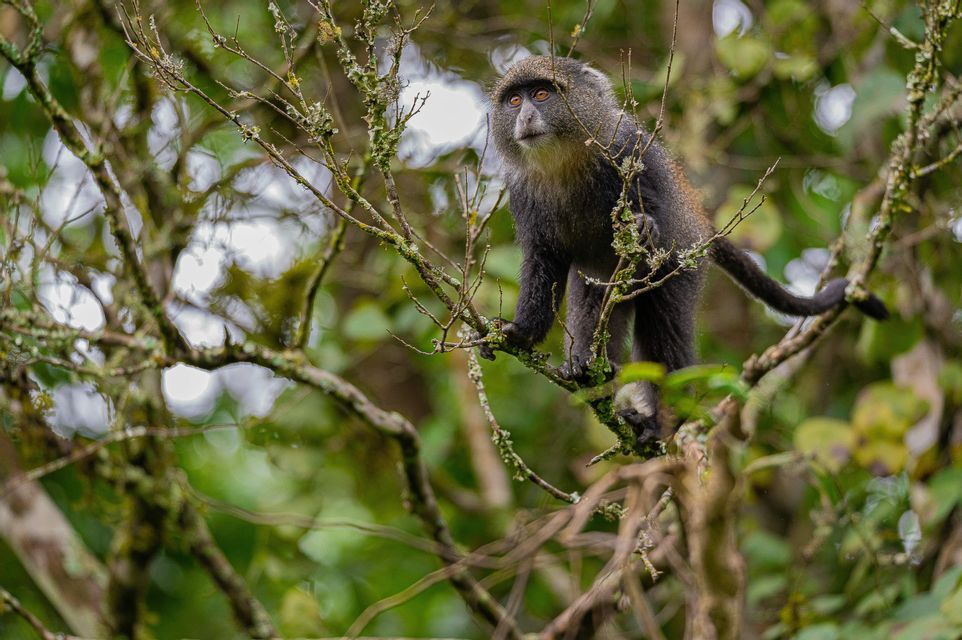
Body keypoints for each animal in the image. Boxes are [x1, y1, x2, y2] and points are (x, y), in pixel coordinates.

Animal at [479, 55, 888, 446]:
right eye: (514, 100)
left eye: (541, 94)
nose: (525, 117)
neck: (563, 161)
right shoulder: (524, 195)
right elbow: (543, 263)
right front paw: (520, 332)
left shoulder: (626, 150)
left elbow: (651, 213)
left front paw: (644, 227)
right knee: (593, 303)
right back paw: (590, 373)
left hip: (680, 269)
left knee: (664, 331)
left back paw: (661, 423)